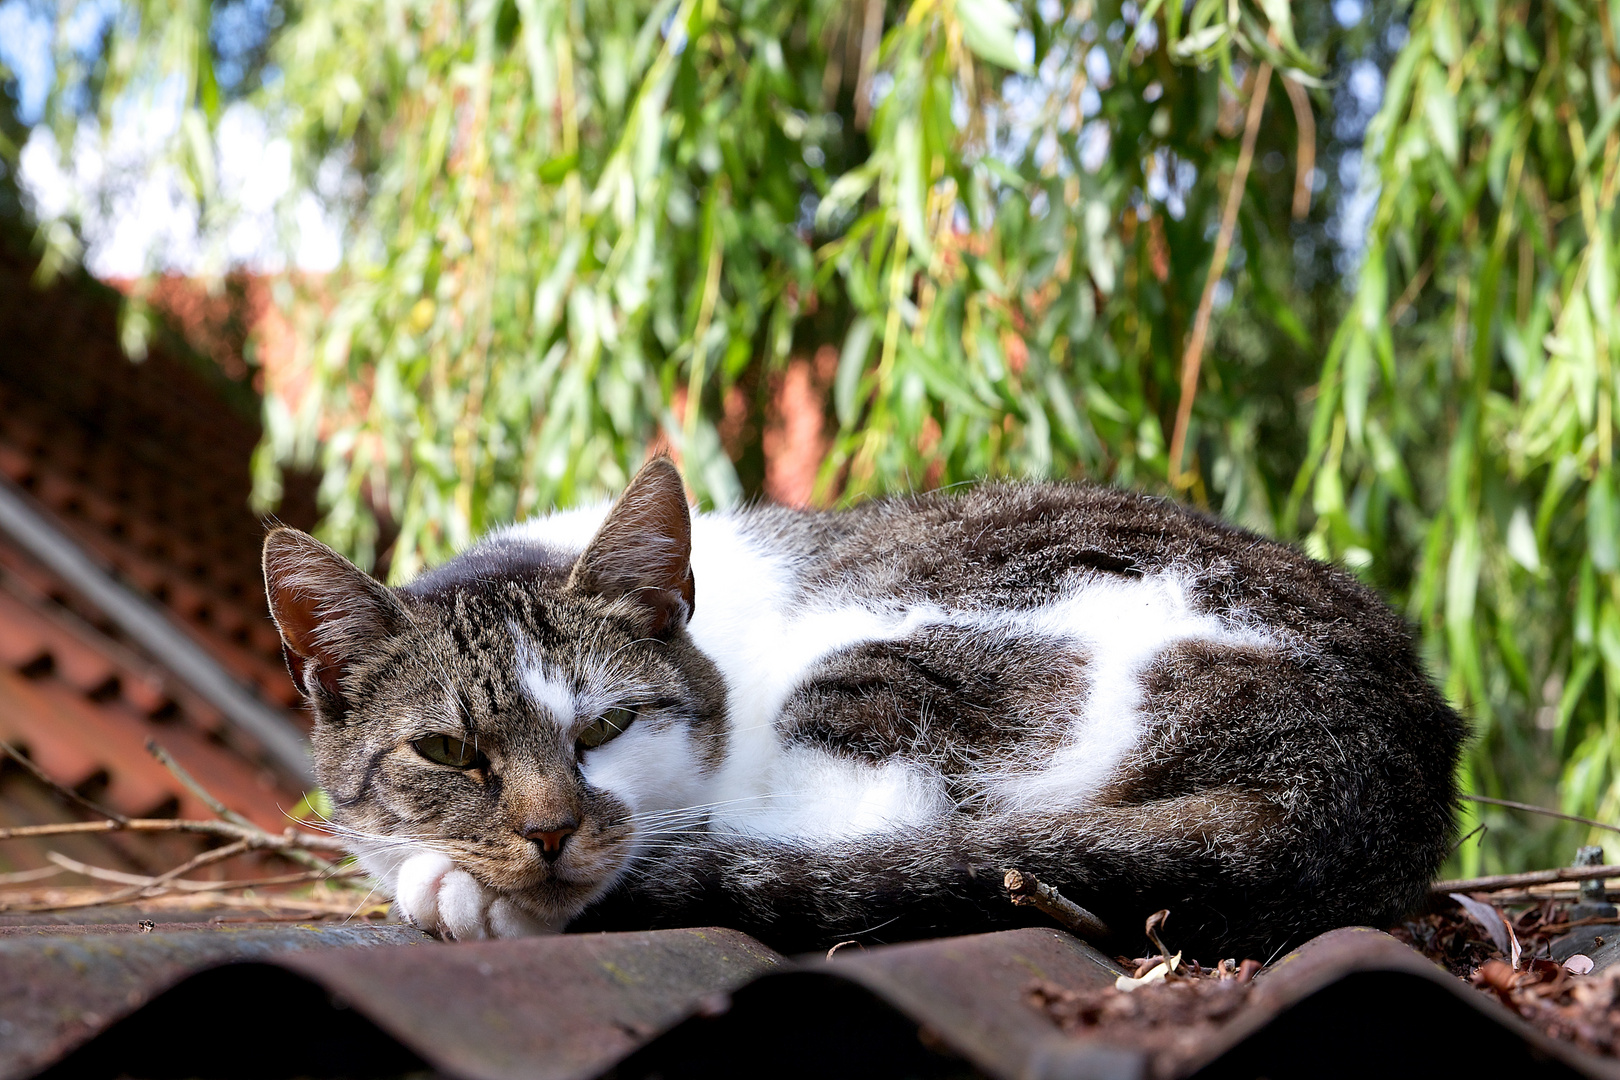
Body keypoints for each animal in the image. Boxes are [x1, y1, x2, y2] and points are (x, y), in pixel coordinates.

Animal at [259, 456, 1464, 952]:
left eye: (606, 727)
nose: (550, 833)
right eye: (447, 753)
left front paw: (452, 885)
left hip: (886, 652)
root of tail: (1365, 769)